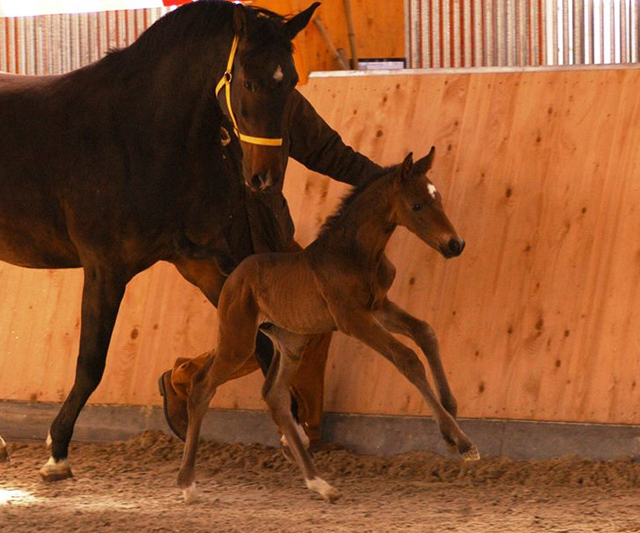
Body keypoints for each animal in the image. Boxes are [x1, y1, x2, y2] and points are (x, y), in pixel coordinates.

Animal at [178, 148, 478, 500]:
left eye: (438, 198)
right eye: (417, 205)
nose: (455, 244)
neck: (355, 254)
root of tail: (233, 273)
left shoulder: (379, 307)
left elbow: (425, 332)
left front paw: (451, 416)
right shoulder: (352, 318)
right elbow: (407, 358)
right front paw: (462, 441)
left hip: (290, 342)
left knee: (274, 396)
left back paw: (319, 483)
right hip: (238, 340)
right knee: (202, 386)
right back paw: (187, 484)